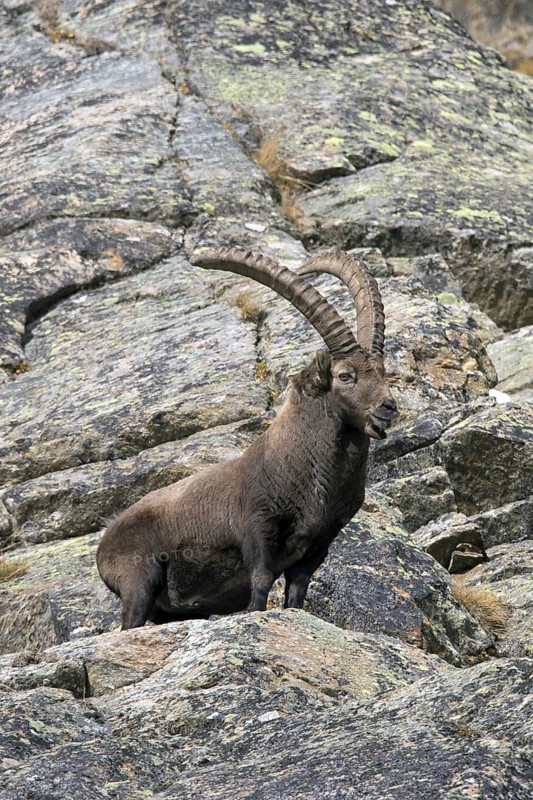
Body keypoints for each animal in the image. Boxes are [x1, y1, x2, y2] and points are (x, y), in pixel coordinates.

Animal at [96, 248, 397, 628]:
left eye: (383, 372)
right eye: (345, 375)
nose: (389, 407)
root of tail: (104, 543)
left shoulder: (320, 542)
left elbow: (297, 590)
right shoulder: (257, 528)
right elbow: (261, 581)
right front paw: (256, 615)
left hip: (167, 609)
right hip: (138, 581)